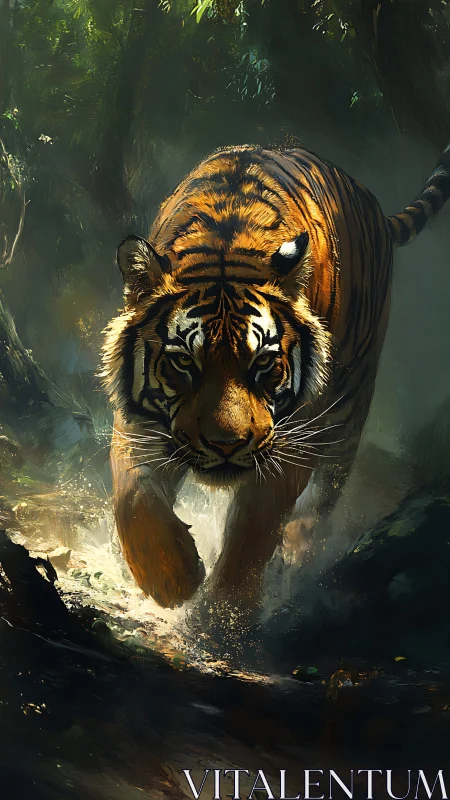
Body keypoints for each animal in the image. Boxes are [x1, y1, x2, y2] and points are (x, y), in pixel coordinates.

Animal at [102, 143, 450, 610]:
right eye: (184, 363)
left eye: (263, 363)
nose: (226, 445)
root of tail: (370, 201)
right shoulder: (138, 423)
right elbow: (134, 499)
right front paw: (174, 581)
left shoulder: (291, 441)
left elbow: (252, 535)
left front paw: (222, 617)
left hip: (348, 406)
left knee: (324, 494)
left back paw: (298, 551)